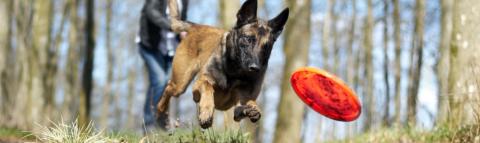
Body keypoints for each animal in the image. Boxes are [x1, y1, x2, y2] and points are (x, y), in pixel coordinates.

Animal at [158, 0, 288, 128]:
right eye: (248, 39)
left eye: (267, 46)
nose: (255, 68)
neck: (235, 72)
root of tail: (197, 26)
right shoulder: (199, 85)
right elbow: (207, 86)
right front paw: (206, 111)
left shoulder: (240, 103)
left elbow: (246, 105)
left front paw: (252, 108)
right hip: (180, 84)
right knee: (168, 88)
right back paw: (161, 111)